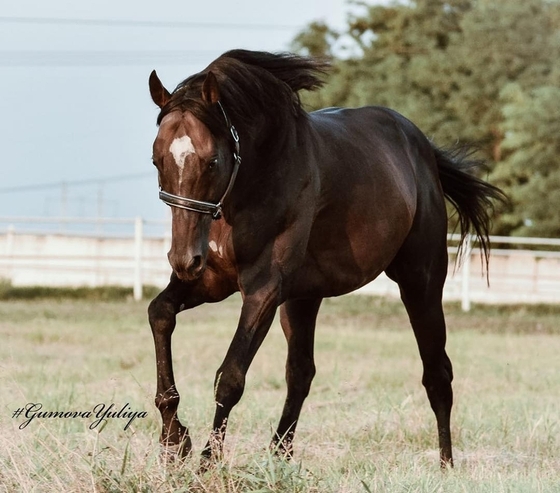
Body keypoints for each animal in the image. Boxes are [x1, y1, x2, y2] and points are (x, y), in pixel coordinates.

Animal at [147, 48, 506, 468]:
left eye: (211, 161)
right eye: (157, 160)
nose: (183, 259)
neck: (257, 176)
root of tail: (424, 151)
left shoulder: (263, 290)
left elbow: (230, 376)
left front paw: (206, 462)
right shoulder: (211, 283)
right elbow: (160, 313)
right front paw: (174, 440)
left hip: (421, 283)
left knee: (437, 373)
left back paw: (446, 466)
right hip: (304, 298)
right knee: (301, 373)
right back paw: (278, 458)